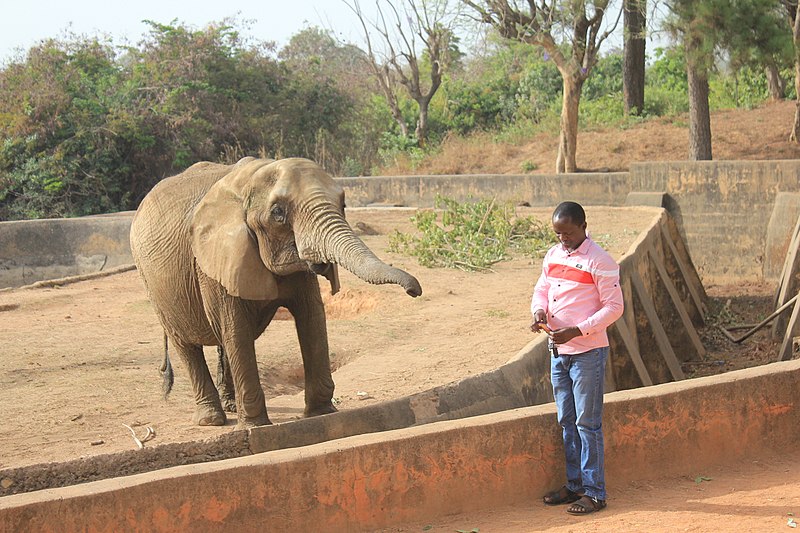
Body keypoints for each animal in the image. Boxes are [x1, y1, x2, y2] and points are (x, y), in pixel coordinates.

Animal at [130, 157, 424, 428]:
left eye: (343, 205)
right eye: (278, 213)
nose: (414, 290)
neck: (252, 176)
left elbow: (312, 317)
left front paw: (322, 414)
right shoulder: (213, 259)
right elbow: (236, 328)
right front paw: (256, 426)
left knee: (221, 340)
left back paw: (231, 406)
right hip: (153, 284)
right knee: (187, 344)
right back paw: (211, 420)